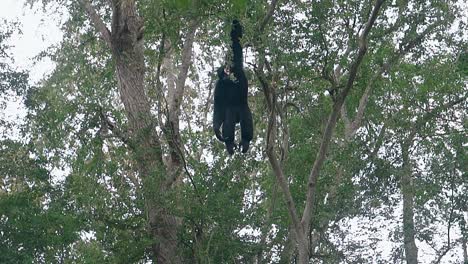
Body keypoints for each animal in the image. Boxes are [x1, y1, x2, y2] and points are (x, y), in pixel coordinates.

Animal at [214, 20, 254, 155]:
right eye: (222, 73)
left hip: (243, 107)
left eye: (227, 71)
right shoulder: (219, 86)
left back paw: (246, 140)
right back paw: (230, 143)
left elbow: (235, 42)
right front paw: (217, 131)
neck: (229, 82)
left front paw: (235, 22)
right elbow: (218, 107)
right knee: (228, 120)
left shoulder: (236, 66)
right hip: (232, 111)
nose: (226, 75)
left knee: (246, 120)